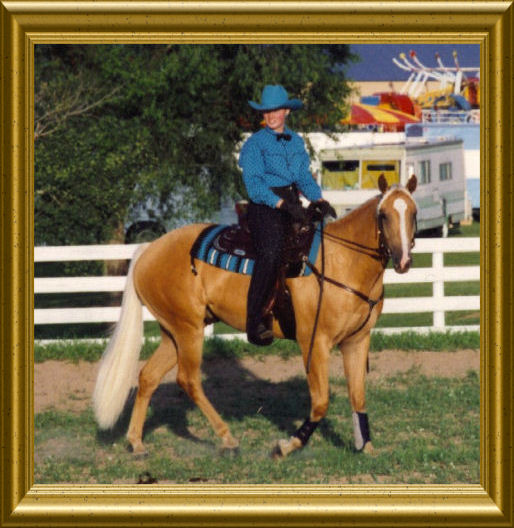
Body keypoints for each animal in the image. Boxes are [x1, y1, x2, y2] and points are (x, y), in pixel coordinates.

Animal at [93, 175, 416, 456]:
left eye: (413, 213)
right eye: (384, 215)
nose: (403, 261)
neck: (341, 261)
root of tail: (148, 250)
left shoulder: (357, 341)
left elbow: (358, 397)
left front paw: (366, 446)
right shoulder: (315, 342)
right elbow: (321, 402)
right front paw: (288, 445)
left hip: (173, 331)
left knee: (148, 377)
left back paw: (136, 442)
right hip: (188, 330)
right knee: (188, 379)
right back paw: (227, 438)